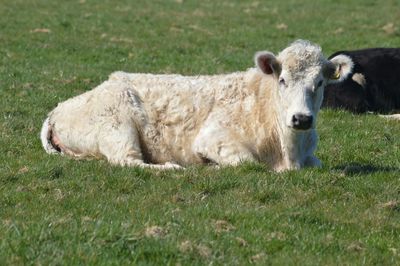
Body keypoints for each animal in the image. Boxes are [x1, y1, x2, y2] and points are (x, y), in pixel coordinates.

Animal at [40, 40, 352, 171]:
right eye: (283, 80)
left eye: (320, 82)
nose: (302, 118)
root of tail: (58, 109)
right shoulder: (213, 138)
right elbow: (246, 162)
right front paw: (211, 167)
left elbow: (317, 163)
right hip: (117, 127)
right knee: (128, 161)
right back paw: (171, 167)